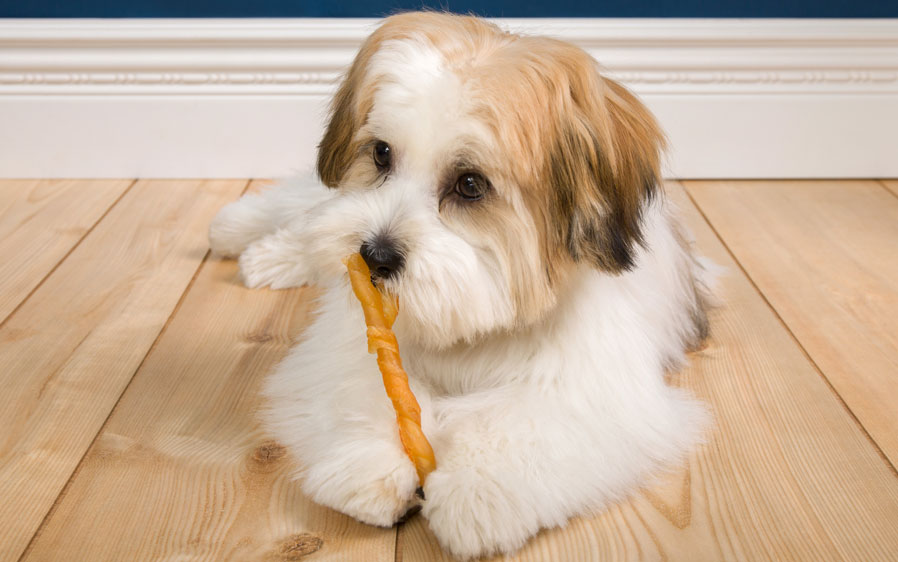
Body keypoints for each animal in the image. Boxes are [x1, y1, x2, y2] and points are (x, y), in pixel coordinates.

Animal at [210, 10, 712, 556]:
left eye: (470, 184)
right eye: (381, 154)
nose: (374, 255)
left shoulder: (593, 388)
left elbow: (516, 422)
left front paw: (476, 492)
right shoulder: (351, 341)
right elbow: (371, 385)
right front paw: (371, 465)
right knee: (303, 203)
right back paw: (249, 237)